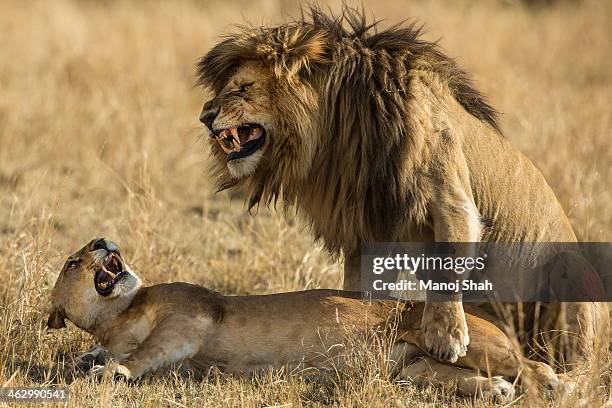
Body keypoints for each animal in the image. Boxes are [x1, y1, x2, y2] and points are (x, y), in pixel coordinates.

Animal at [196, 7, 608, 366]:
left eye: (243, 88)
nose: (205, 116)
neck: (342, 127)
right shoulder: (368, 227)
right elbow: (360, 288)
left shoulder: (450, 198)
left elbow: (447, 269)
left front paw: (446, 338)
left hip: (572, 267)